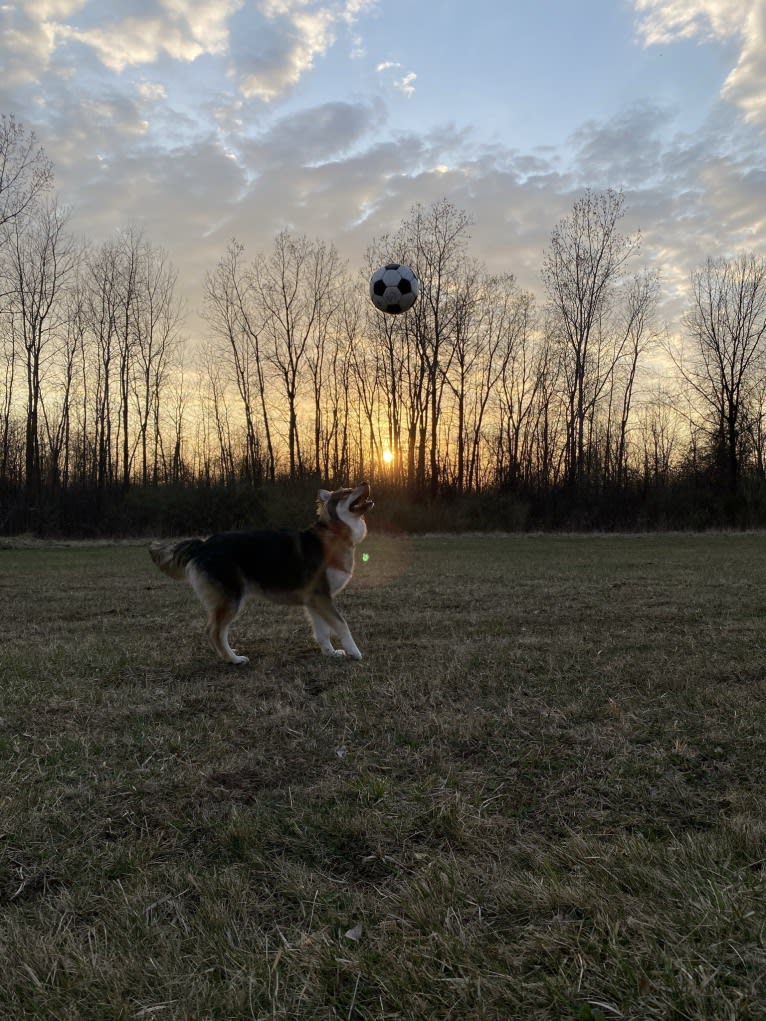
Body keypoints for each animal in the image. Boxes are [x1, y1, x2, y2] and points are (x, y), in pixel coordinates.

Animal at [148, 483, 373, 665]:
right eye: (346, 492)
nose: (365, 482)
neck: (336, 533)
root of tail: (203, 545)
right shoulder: (321, 597)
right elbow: (342, 625)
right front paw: (355, 652)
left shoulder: (315, 600)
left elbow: (323, 632)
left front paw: (330, 653)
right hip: (231, 600)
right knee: (214, 631)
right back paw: (233, 659)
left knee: (218, 632)